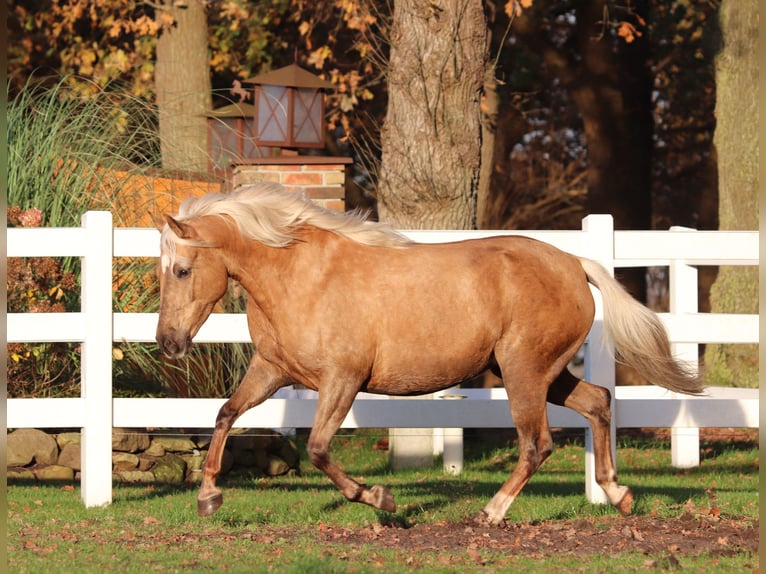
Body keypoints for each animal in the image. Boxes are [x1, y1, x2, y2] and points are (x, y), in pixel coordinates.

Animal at [156, 181, 708, 528]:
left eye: (182, 270)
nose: (168, 343)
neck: (299, 276)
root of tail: (574, 263)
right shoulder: (271, 371)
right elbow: (225, 414)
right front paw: (208, 497)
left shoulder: (342, 380)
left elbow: (316, 448)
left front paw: (381, 499)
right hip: (544, 374)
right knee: (597, 403)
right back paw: (619, 495)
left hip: (524, 372)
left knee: (537, 443)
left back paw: (491, 512)